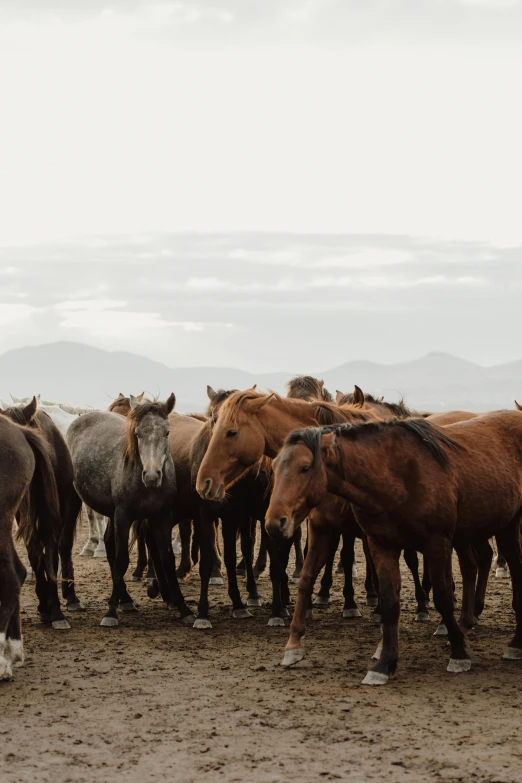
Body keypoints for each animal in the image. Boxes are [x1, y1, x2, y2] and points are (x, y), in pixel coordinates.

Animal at [66, 396, 193, 628]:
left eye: (167, 432)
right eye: (137, 433)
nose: (151, 476)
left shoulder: (162, 518)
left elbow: (167, 559)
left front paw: (183, 608)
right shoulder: (123, 517)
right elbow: (122, 559)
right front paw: (110, 613)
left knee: (108, 543)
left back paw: (125, 599)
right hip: (73, 502)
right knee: (65, 545)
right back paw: (73, 599)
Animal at [266, 416, 520, 688]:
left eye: (304, 468)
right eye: (274, 467)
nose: (274, 523)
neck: (396, 476)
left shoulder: (436, 542)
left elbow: (442, 596)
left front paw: (459, 653)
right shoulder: (370, 541)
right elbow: (385, 598)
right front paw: (384, 663)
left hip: (504, 528)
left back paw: (510, 642)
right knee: (475, 564)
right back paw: (469, 625)